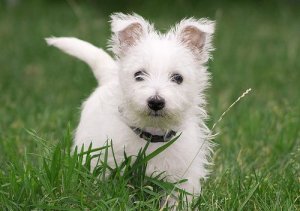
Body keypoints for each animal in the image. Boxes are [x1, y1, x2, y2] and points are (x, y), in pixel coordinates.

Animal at [46, 12, 216, 198]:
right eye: (138, 75)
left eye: (178, 78)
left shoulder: (184, 175)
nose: (156, 102)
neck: (152, 135)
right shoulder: (108, 162)